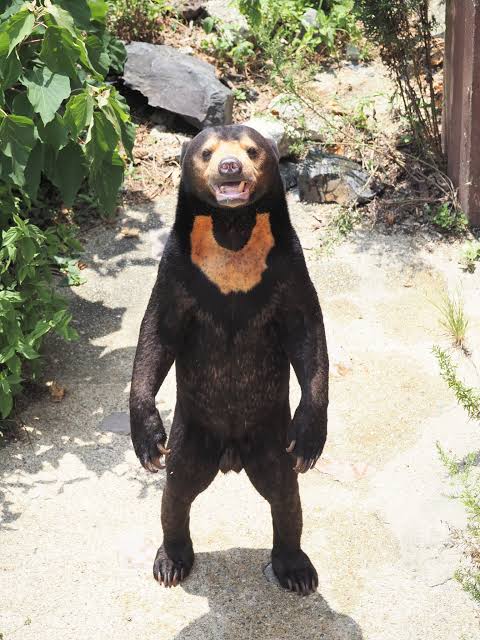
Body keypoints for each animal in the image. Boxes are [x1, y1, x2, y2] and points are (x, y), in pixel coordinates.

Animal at [129, 124, 329, 596]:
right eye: (207, 153)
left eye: (252, 150)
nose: (231, 167)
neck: (232, 233)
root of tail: (231, 456)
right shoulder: (178, 269)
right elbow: (156, 336)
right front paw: (147, 440)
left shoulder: (287, 265)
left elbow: (308, 335)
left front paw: (310, 440)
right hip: (191, 432)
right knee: (177, 490)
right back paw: (171, 562)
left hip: (271, 436)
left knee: (284, 493)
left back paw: (295, 569)